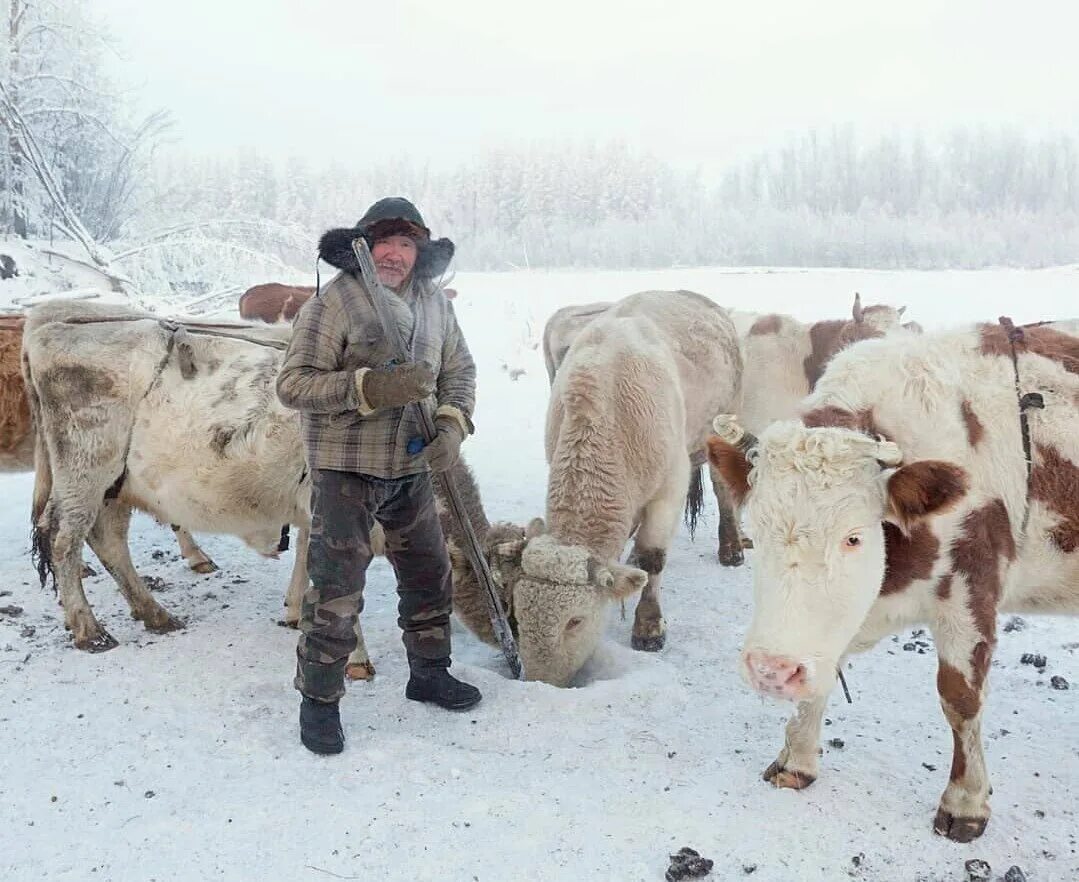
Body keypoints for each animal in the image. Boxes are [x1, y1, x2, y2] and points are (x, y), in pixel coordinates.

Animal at [494, 291, 746, 686]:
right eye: (517, 612)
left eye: (575, 621)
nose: (540, 681)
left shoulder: (670, 488)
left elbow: (654, 557)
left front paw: (649, 627)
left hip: (722, 422)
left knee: (722, 487)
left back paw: (732, 548)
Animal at [707, 317, 1079, 837]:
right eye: (756, 532)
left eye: (854, 537)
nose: (771, 671)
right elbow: (823, 669)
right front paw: (795, 760)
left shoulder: (970, 593)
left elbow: (961, 698)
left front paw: (964, 803)